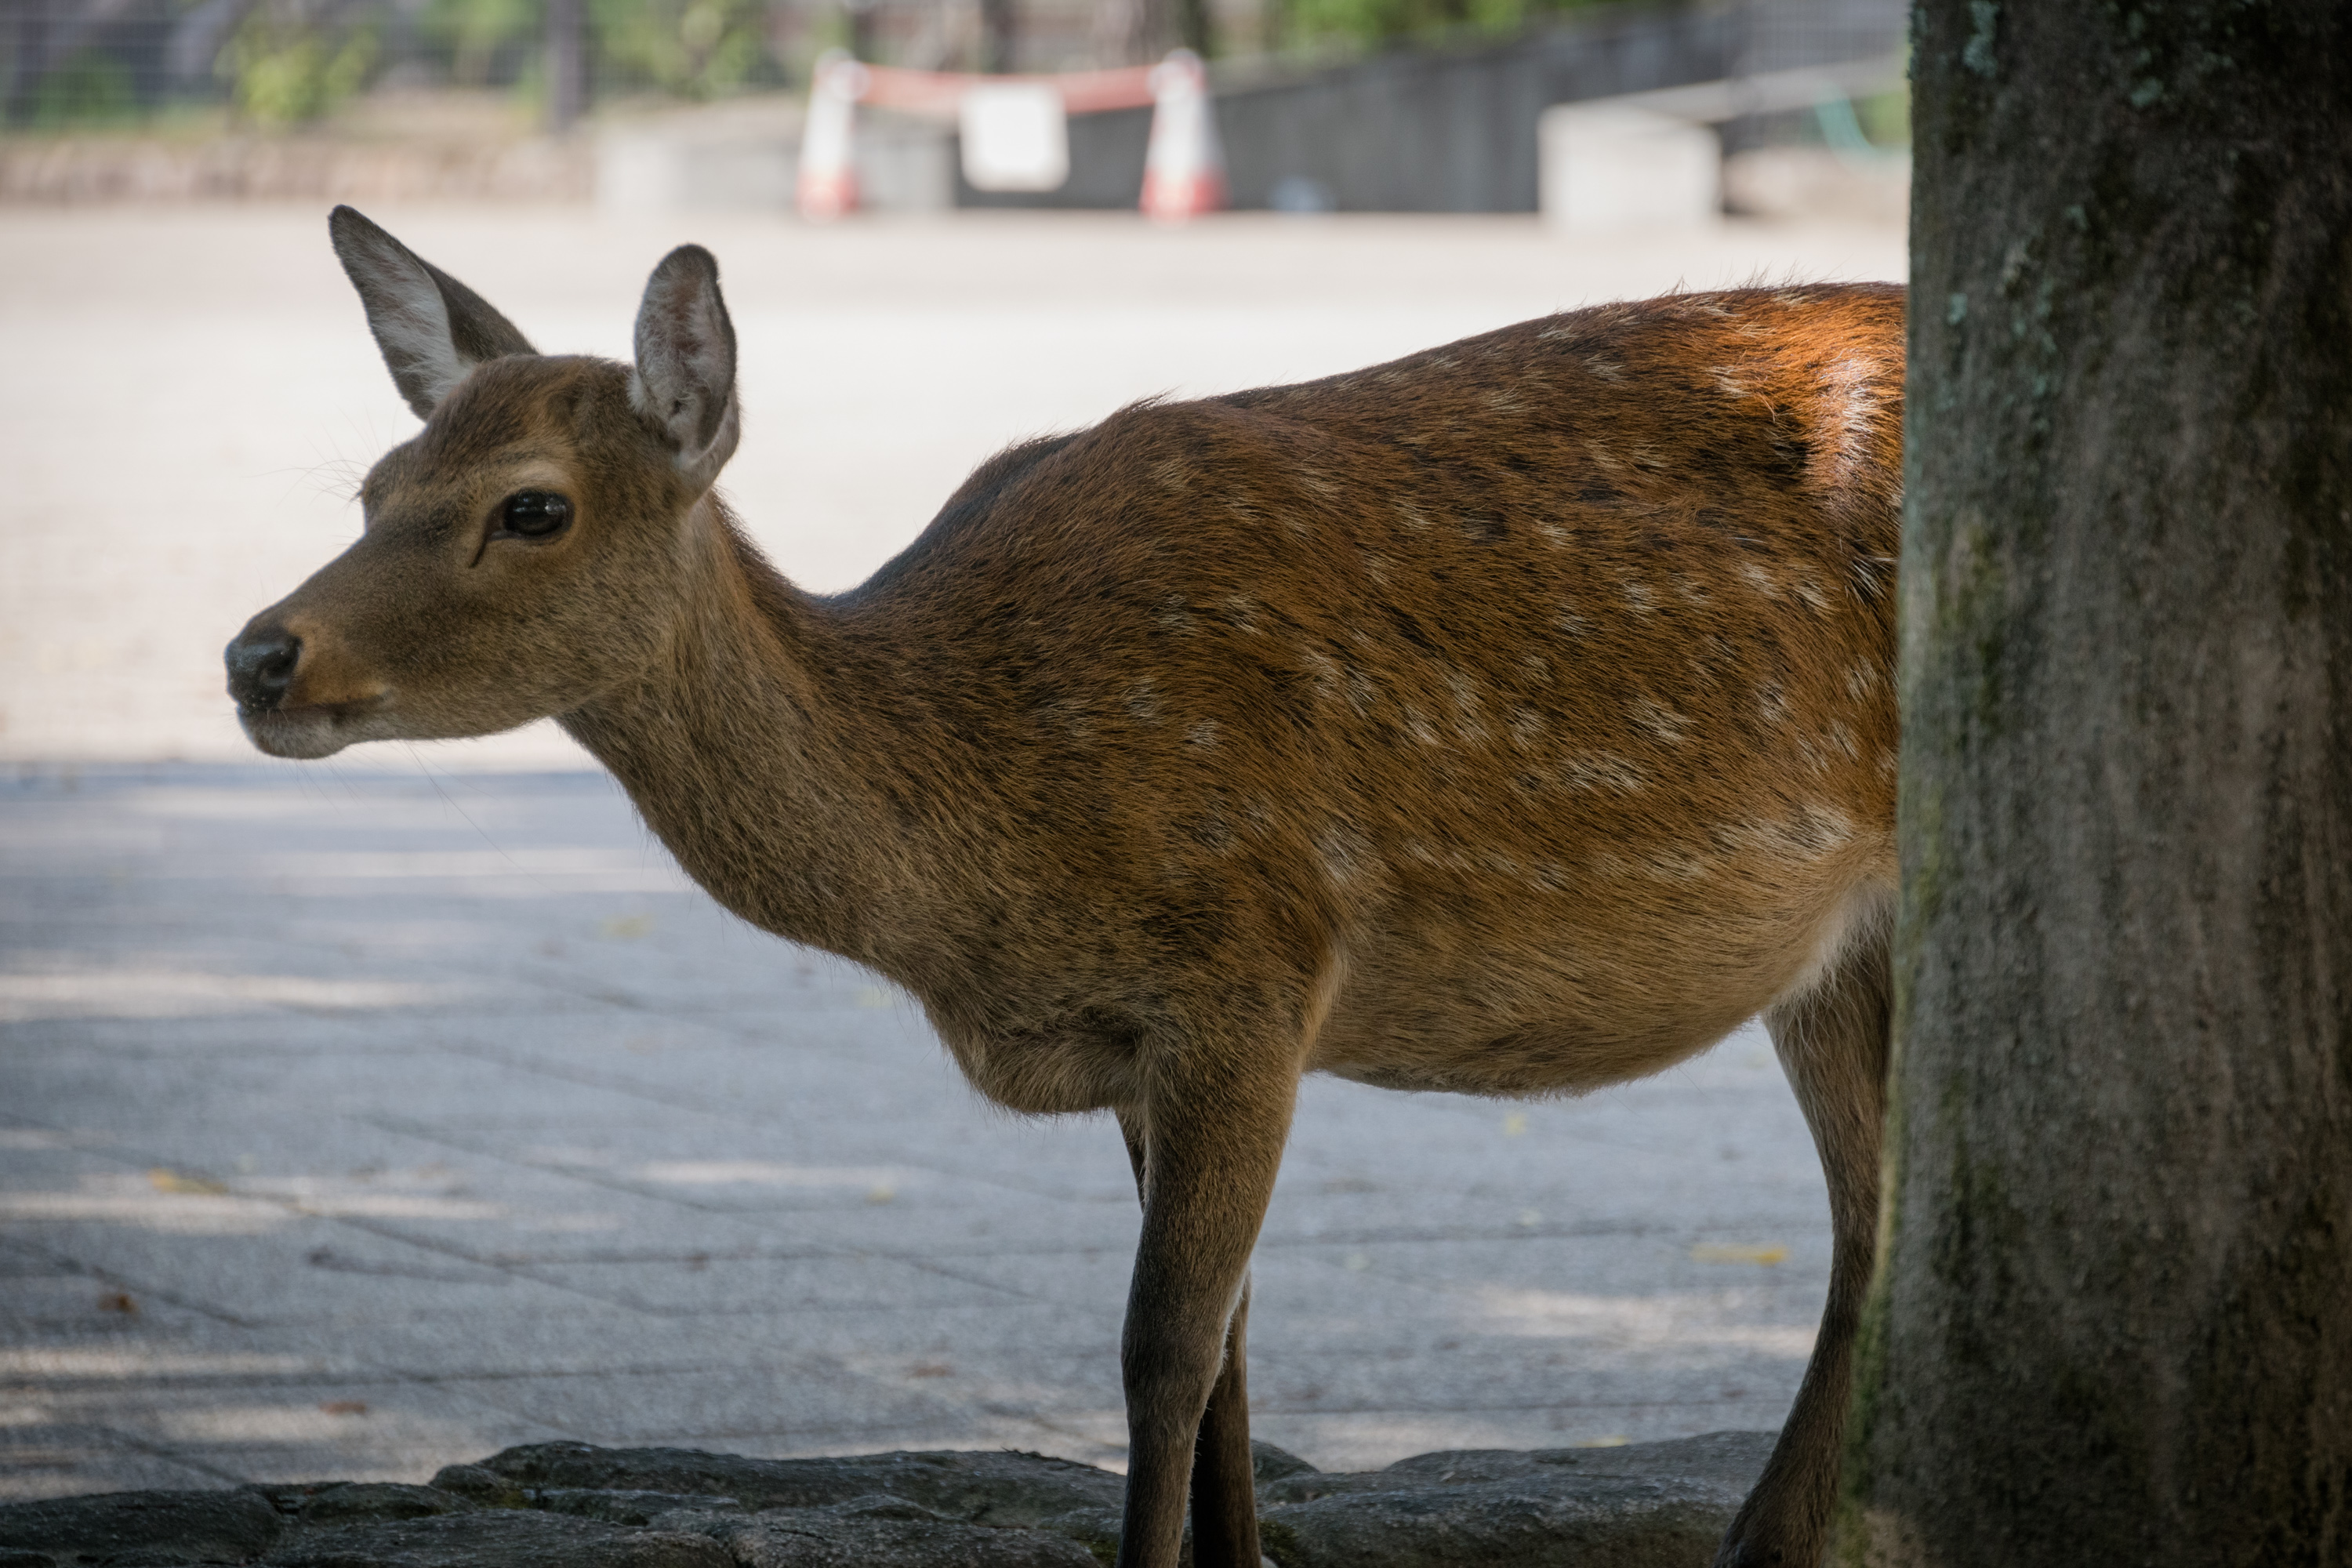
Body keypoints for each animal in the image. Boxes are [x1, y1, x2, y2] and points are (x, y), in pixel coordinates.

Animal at [226, 206, 1903, 1568]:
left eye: (533, 506)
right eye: (376, 483)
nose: (258, 656)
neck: (998, 872)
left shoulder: (1255, 965)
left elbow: (1163, 1352)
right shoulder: (1140, 1046)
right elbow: (1232, 1356)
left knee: (1868, 1225)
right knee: (1872, 1218)